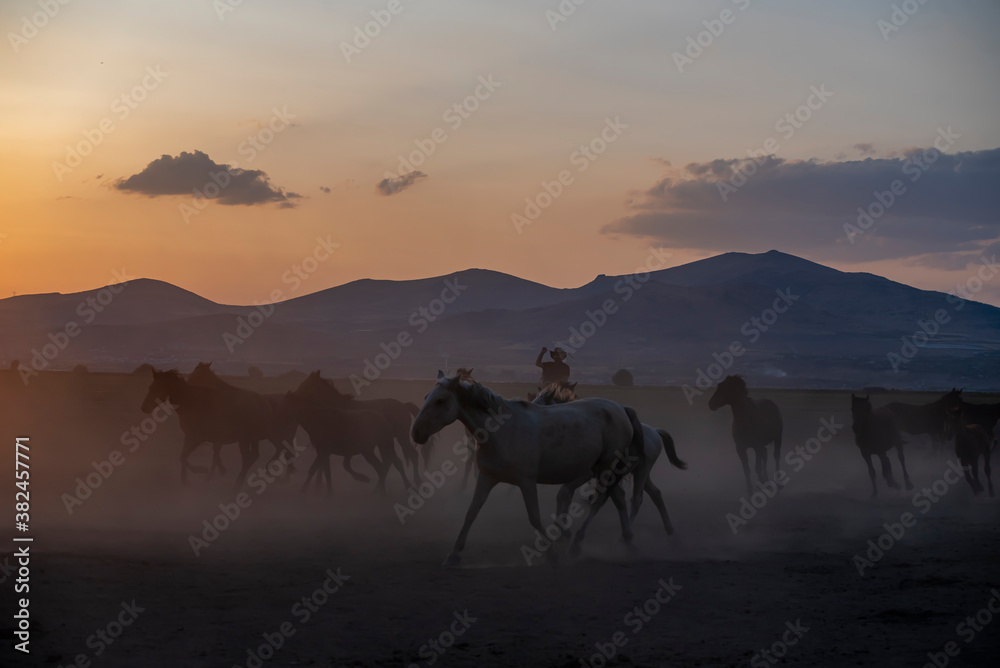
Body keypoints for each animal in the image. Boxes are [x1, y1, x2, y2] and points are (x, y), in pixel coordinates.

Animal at [141, 368, 274, 488]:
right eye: (150, 387)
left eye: (157, 388)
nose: (144, 407)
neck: (190, 401)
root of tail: (264, 403)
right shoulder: (189, 436)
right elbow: (183, 456)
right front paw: (185, 478)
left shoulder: (198, 437)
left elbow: (185, 457)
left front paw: (201, 470)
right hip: (252, 439)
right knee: (253, 457)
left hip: (245, 440)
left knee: (247, 459)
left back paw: (237, 483)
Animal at [410, 374, 644, 568]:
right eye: (426, 396)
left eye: (441, 400)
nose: (416, 432)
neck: (500, 432)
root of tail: (621, 408)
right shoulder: (486, 479)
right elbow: (471, 513)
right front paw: (453, 555)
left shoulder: (526, 482)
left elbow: (534, 517)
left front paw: (551, 554)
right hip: (602, 469)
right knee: (618, 498)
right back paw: (628, 542)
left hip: (606, 466)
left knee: (600, 500)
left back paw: (578, 544)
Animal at [528, 378, 684, 536]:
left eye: (540, 406)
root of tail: (655, 431)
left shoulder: (590, 473)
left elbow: (566, 492)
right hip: (640, 472)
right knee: (655, 494)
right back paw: (668, 528)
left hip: (642, 471)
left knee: (637, 499)